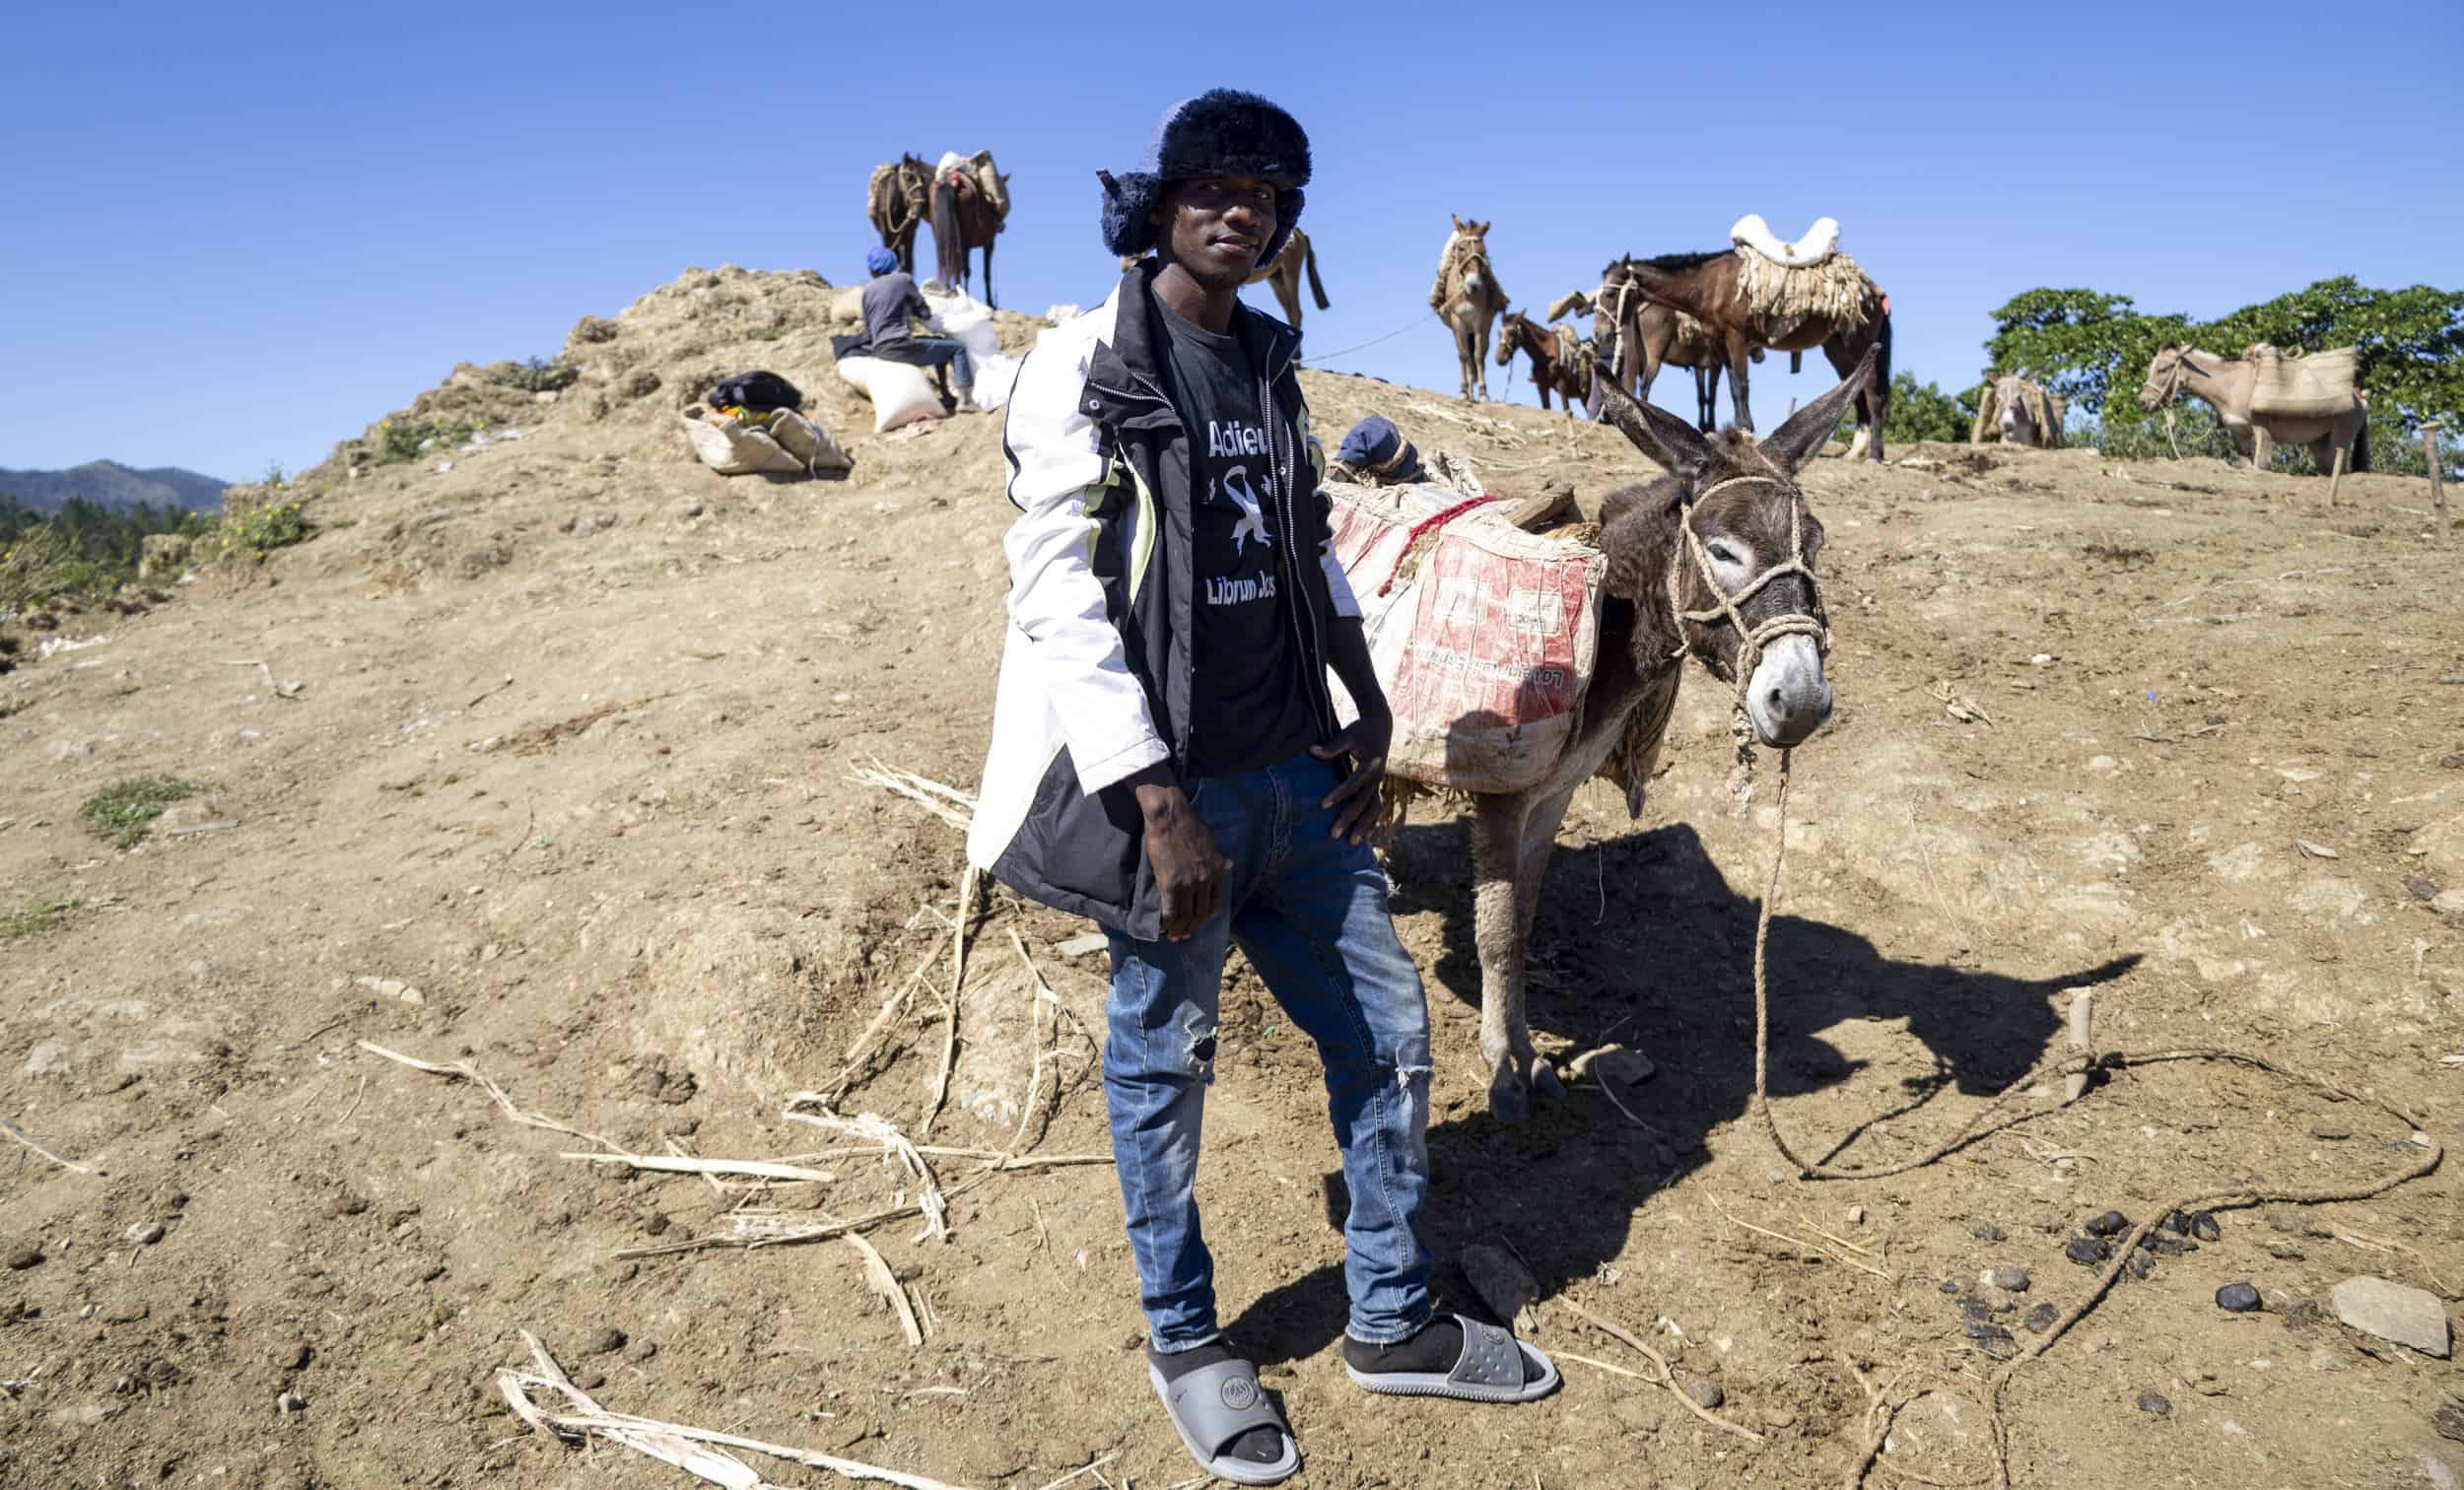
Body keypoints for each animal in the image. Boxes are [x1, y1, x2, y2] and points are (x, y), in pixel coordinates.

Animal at [926, 154, 1010, 307]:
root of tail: (949, 181)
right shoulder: (989, 243)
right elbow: (985, 273)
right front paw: (990, 302)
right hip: (964, 239)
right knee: (960, 266)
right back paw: (959, 292)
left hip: (941, 234)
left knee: (946, 258)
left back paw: (948, 289)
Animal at [1607, 244, 1892, 457]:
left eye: (1610, 293)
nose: (1605, 333)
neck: (1710, 286)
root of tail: (1874, 293)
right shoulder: (1720, 345)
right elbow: (1733, 388)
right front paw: (1741, 428)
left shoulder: (1736, 338)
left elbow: (1741, 385)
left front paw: (1746, 429)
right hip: (1837, 349)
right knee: (1855, 387)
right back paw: (1856, 451)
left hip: (1858, 345)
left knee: (1872, 393)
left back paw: (1875, 453)